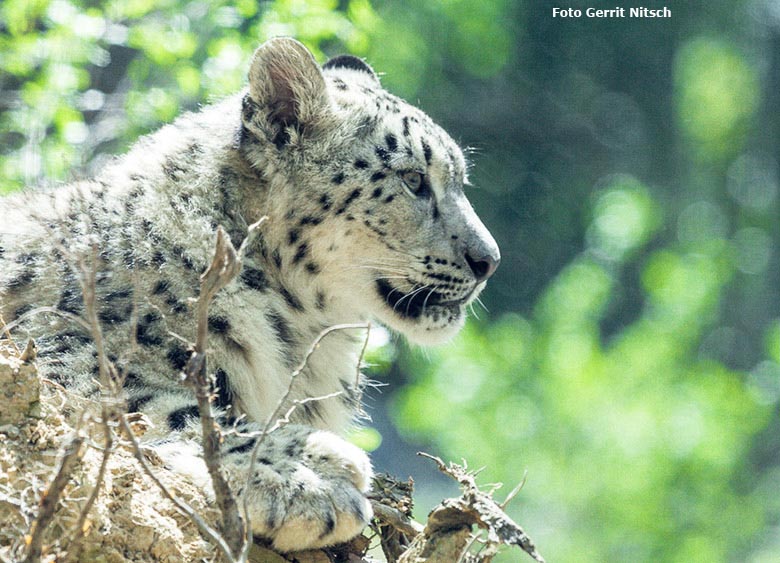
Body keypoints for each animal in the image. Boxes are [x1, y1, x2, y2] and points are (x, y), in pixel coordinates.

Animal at [0, 37, 500, 552]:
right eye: (413, 179)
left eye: (459, 180)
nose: (489, 260)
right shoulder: (59, 344)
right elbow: (157, 404)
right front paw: (303, 475)